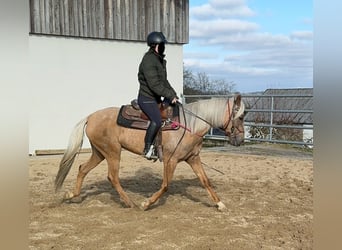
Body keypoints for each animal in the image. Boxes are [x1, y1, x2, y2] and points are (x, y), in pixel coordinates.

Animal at [54, 94, 246, 211]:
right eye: (242, 116)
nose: (241, 140)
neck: (190, 125)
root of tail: (90, 117)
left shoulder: (193, 158)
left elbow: (205, 181)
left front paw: (220, 204)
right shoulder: (171, 160)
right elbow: (166, 185)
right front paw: (146, 203)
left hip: (100, 152)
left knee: (82, 169)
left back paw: (72, 194)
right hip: (112, 152)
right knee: (112, 177)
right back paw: (129, 202)